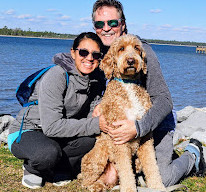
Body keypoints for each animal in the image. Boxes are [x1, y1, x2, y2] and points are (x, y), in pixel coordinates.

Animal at [79, 35, 166, 192]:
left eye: (137, 48)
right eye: (121, 49)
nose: (131, 61)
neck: (128, 83)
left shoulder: (146, 138)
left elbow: (151, 165)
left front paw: (158, 186)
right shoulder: (118, 138)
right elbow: (125, 170)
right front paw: (129, 189)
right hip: (98, 156)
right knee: (86, 181)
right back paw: (95, 186)